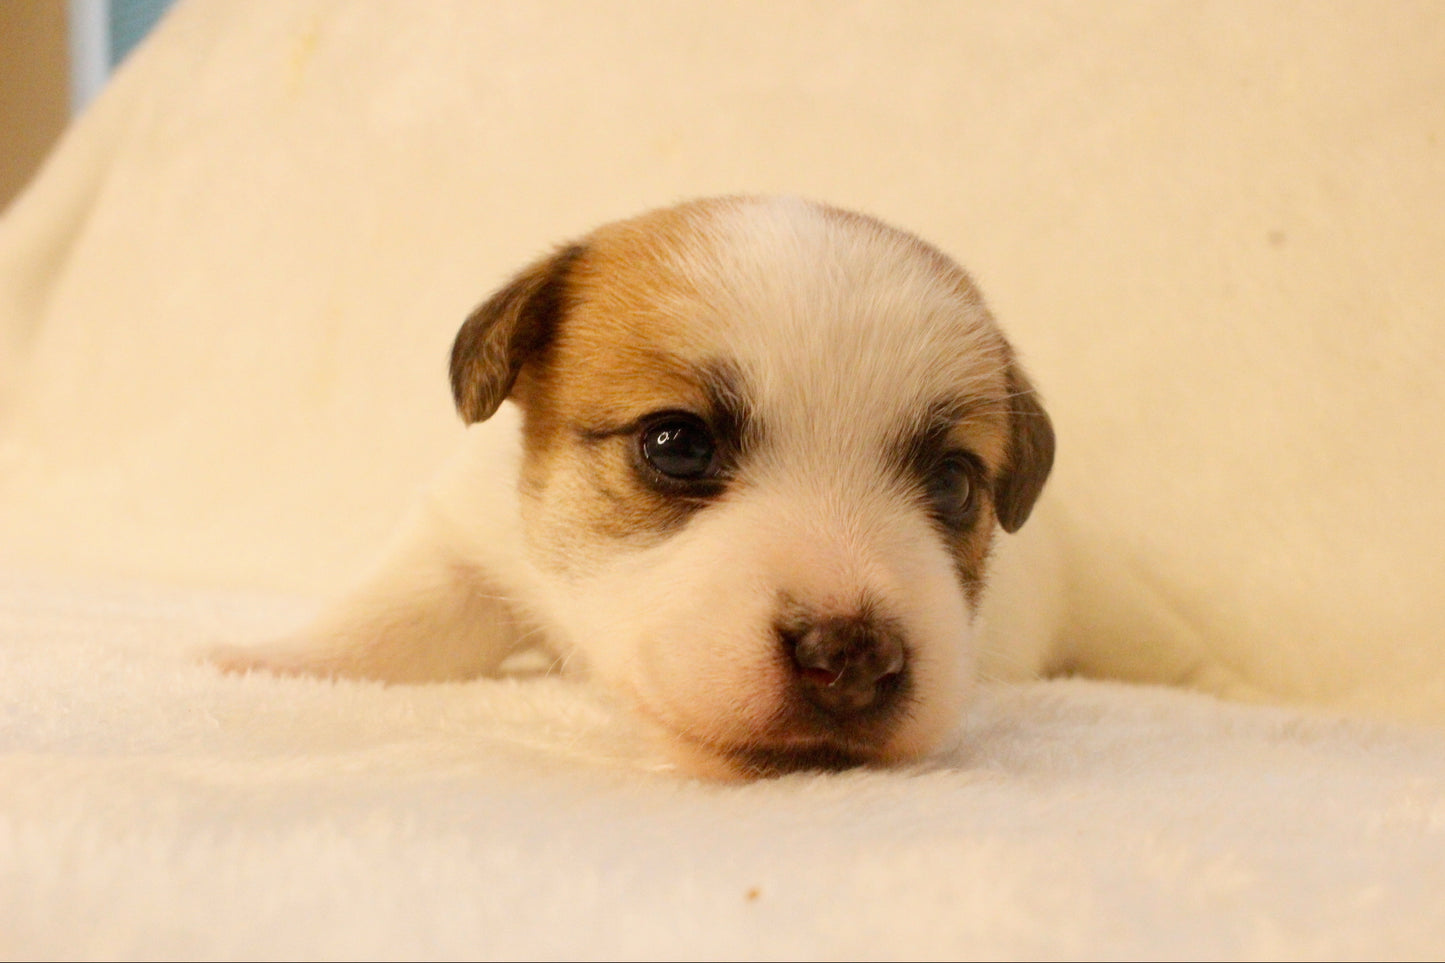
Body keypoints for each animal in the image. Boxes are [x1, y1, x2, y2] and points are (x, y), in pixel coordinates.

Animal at [216, 198, 1063, 775]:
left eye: (953, 484)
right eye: (677, 445)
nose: (852, 657)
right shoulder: (466, 546)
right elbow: (386, 619)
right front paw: (272, 659)